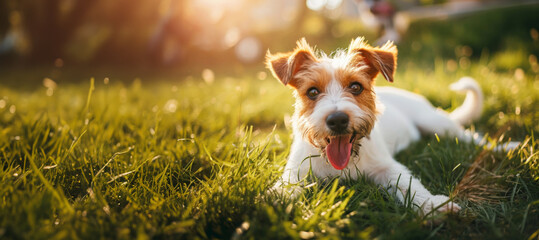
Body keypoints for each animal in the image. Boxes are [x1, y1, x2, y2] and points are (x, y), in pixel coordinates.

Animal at [266, 37, 520, 214]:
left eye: (356, 87)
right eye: (312, 92)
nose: (337, 119)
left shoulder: (387, 167)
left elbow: (410, 185)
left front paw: (432, 205)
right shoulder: (296, 170)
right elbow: (286, 185)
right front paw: (272, 197)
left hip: (436, 124)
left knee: (473, 138)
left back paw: (506, 147)